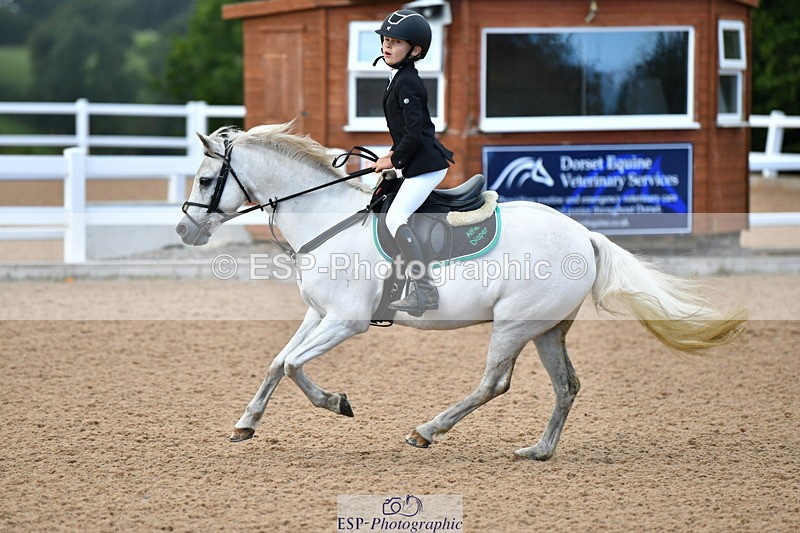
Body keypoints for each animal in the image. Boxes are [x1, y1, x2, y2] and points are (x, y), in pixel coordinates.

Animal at [175, 122, 746, 461]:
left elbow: (294, 366)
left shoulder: (346, 321)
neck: (328, 217)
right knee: (566, 386)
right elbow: (278, 362)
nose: (184, 231)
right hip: (547, 329)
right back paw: (538, 450)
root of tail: (584, 233)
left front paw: (337, 402)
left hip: (515, 323)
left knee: (494, 383)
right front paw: (245, 424)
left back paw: (427, 430)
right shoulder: (319, 315)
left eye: (204, 181)